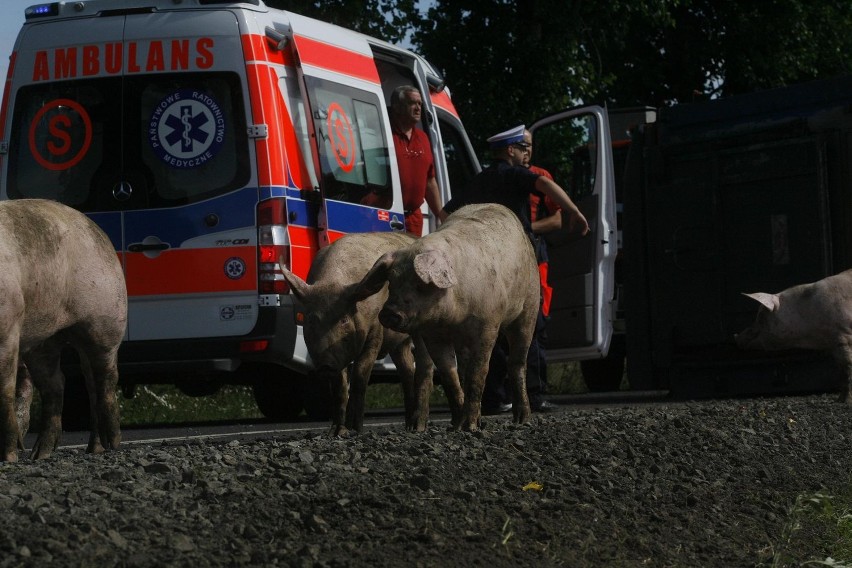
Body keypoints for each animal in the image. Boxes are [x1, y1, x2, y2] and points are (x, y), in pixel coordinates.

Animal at [1, 200, 127, 462]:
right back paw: (43, 454)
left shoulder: (8, 330)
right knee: (59, 383)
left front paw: (8, 457)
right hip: (42, 339)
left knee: (105, 378)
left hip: (106, 316)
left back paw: (111, 444)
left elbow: (4, 391)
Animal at [282, 231, 436, 434]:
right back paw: (408, 425)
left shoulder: (376, 331)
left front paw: (355, 429)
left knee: (425, 367)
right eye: (310, 320)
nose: (324, 365)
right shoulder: (338, 355)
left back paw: (418, 427)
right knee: (407, 370)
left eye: (344, 319)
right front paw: (337, 432)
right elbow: (340, 387)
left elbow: (361, 374)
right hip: (399, 343)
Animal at [352, 204, 540, 430]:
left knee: (517, 362)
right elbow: (449, 375)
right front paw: (457, 426)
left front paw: (469, 427)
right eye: (392, 282)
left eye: (420, 284)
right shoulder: (433, 335)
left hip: (529, 306)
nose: (389, 313)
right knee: (464, 370)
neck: (453, 318)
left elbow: (478, 372)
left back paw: (521, 420)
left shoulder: (488, 325)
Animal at [736, 268, 852, 402]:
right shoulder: (833, 342)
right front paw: (839, 400)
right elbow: (840, 369)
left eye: (760, 318)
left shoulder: (843, 334)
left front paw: (844, 401)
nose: (737, 338)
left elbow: (847, 368)